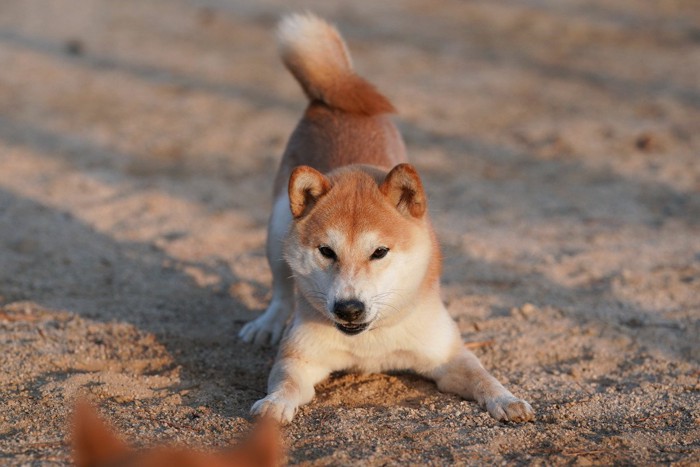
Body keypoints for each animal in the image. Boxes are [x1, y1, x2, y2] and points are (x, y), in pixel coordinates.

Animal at [238, 13, 532, 424]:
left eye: (379, 252)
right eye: (326, 252)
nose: (348, 308)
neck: (369, 339)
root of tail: (331, 97)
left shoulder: (449, 355)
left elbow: (483, 376)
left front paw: (508, 399)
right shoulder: (299, 358)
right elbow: (286, 383)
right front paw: (274, 404)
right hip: (277, 227)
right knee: (282, 287)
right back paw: (266, 325)